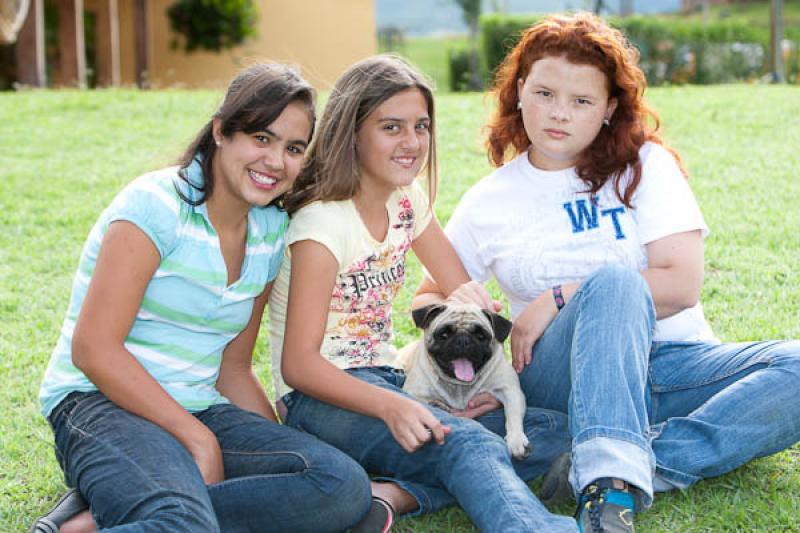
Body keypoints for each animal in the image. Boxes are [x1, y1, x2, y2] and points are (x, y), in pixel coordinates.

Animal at [400, 302, 532, 460]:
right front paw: (438, 405)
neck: (459, 385)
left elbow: (512, 415)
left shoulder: (510, 391)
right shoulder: (414, 392)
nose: (463, 340)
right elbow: (423, 403)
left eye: (481, 336)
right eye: (444, 335)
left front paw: (516, 440)